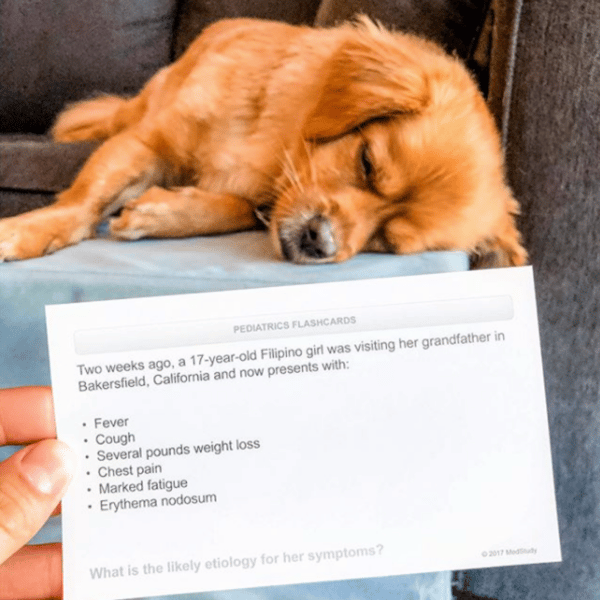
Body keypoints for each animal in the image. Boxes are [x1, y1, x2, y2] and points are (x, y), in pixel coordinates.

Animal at [0, 17, 524, 266]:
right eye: (367, 162)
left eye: (387, 242)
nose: (321, 242)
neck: (276, 154)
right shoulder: (148, 143)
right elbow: (84, 201)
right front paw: (27, 230)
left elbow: (234, 209)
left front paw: (163, 212)